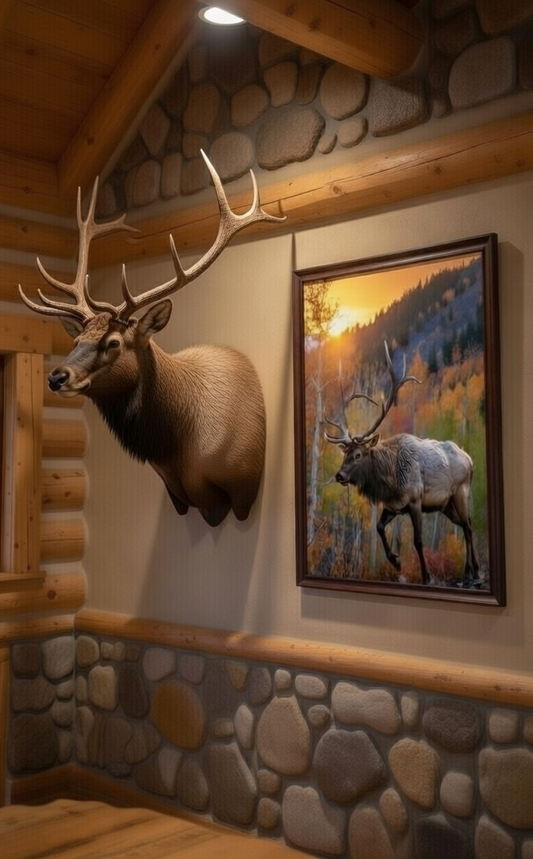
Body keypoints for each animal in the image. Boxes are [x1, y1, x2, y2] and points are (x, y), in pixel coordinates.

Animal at [325, 342, 479, 586]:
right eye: (344, 454)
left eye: (358, 455)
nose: (340, 475)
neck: (391, 479)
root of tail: (470, 459)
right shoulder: (394, 505)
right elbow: (379, 527)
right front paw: (396, 561)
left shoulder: (415, 500)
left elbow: (418, 540)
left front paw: (427, 576)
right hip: (446, 505)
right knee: (468, 523)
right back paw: (473, 570)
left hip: (460, 492)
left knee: (468, 526)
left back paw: (471, 571)